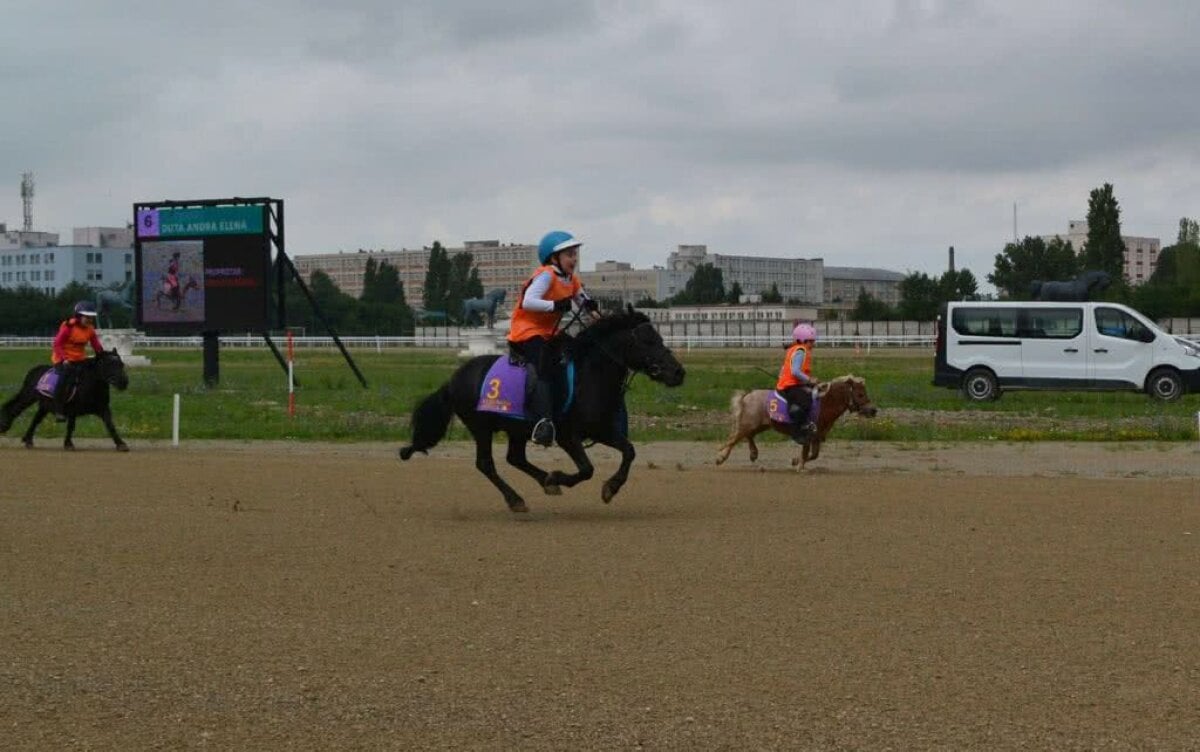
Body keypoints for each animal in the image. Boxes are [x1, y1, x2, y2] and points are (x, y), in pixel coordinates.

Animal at [0, 350, 131, 450]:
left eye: (121, 364)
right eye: (108, 364)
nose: (123, 382)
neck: (89, 384)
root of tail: (35, 370)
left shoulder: (103, 408)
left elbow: (110, 425)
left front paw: (121, 444)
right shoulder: (72, 408)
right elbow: (71, 426)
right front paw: (68, 444)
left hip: (44, 405)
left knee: (35, 420)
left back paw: (28, 440)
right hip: (29, 396)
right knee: (15, 408)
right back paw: (6, 425)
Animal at [715, 374, 878, 470]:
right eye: (860, 394)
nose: (873, 410)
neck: (824, 403)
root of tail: (749, 394)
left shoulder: (817, 436)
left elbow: (814, 455)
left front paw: (795, 461)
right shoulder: (808, 434)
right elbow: (806, 453)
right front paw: (800, 466)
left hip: (762, 424)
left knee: (748, 436)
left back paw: (753, 454)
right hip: (749, 423)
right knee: (734, 439)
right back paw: (720, 458)